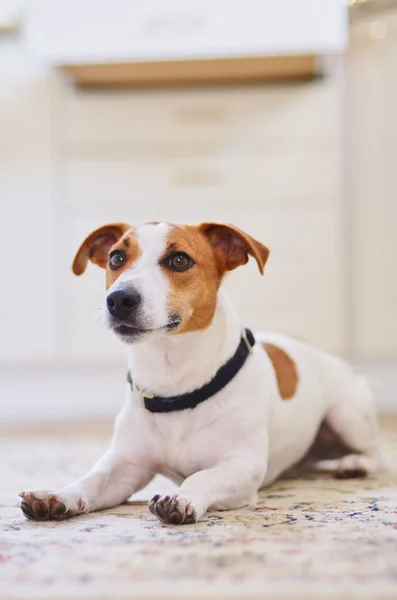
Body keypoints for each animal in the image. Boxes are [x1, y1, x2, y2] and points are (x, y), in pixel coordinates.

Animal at [18, 221, 380, 524]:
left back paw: (355, 464)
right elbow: (91, 480)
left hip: (347, 417)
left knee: (377, 450)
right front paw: (57, 495)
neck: (175, 386)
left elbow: (201, 476)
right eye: (116, 257)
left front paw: (180, 497)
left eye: (179, 260)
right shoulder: (125, 466)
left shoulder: (240, 466)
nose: (119, 298)